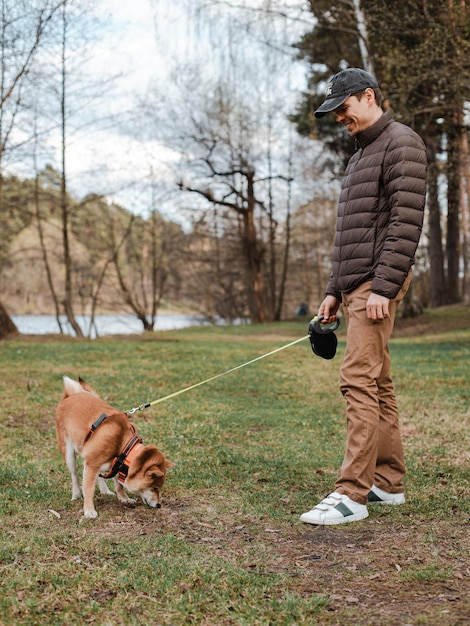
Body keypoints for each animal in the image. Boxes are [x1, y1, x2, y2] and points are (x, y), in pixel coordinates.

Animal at [55, 376, 173, 516]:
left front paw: (124, 498)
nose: (159, 505)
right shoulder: (93, 465)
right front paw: (89, 510)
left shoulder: (115, 465)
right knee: (74, 475)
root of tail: (71, 395)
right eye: (154, 488)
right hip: (69, 453)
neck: (124, 446)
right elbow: (88, 489)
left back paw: (105, 491)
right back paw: (76, 494)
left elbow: (119, 485)